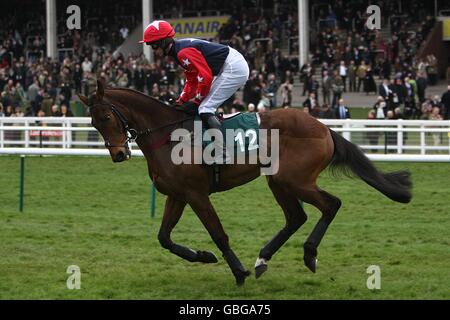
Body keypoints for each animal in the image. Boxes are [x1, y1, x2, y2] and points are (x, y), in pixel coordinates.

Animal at [78, 81, 412, 286]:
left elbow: (218, 234)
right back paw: (263, 259)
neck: (168, 134)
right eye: (93, 121)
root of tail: (324, 128)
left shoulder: (196, 194)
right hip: (278, 181)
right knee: (296, 216)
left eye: (106, 116)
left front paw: (237, 272)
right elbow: (164, 237)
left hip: (295, 179)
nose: (119, 154)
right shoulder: (178, 194)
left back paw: (308, 254)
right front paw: (203, 256)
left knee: (331, 204)